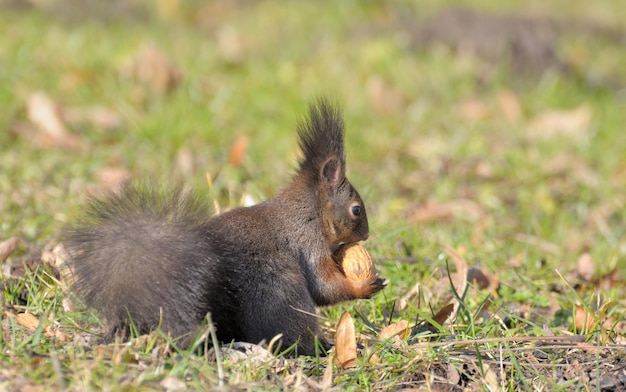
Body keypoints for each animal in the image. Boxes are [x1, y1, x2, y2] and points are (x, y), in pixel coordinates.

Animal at [63, 98, 386, 356]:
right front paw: (364, 286)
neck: (310, 211)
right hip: (283, 292)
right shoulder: (308, 242)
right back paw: (322, 346)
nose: (366, 234)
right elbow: (325, 286)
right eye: (356, 210)